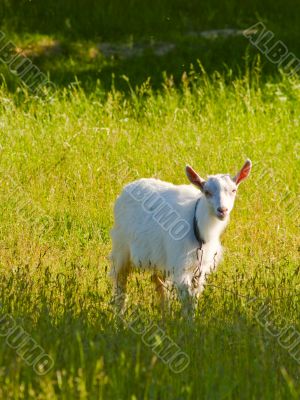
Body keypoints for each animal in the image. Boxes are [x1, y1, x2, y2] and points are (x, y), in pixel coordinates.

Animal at [109, 159, 251, 312]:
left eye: (233, 190)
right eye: (207, 192)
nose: (222, 210)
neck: (198, 227)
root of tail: (129, 186)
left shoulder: (201, 268)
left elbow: (194, 298)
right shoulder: (181, 265)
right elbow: (186, 299)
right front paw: (186, 318)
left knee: (158, 282)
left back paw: (165, 313)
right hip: (121, 247)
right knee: (120, 281)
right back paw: (120, 313)